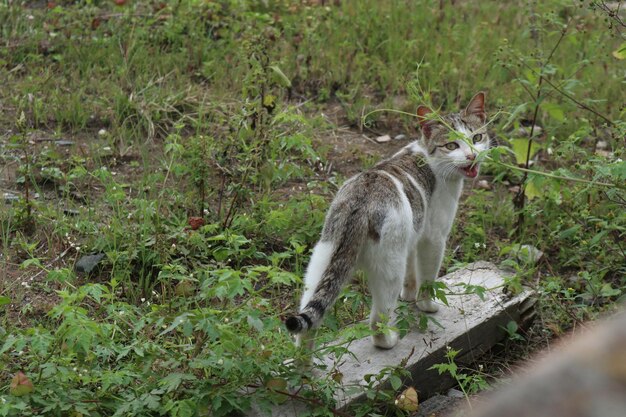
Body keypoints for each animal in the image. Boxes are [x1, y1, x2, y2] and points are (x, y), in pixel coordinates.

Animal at [286, 92, 490, 350]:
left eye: (477, 137)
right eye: (451, 145)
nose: (472, 155)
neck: (431, 158)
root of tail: (361, 200)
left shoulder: (414, 235)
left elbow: (412, 276)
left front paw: (409, 297)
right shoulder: (433, 239)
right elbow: (427, 279)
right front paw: (426, 305)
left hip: (322, 261)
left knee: (308, 322)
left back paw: (305, 360)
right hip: (390, 267)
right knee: (376, 321)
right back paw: (389, 341)